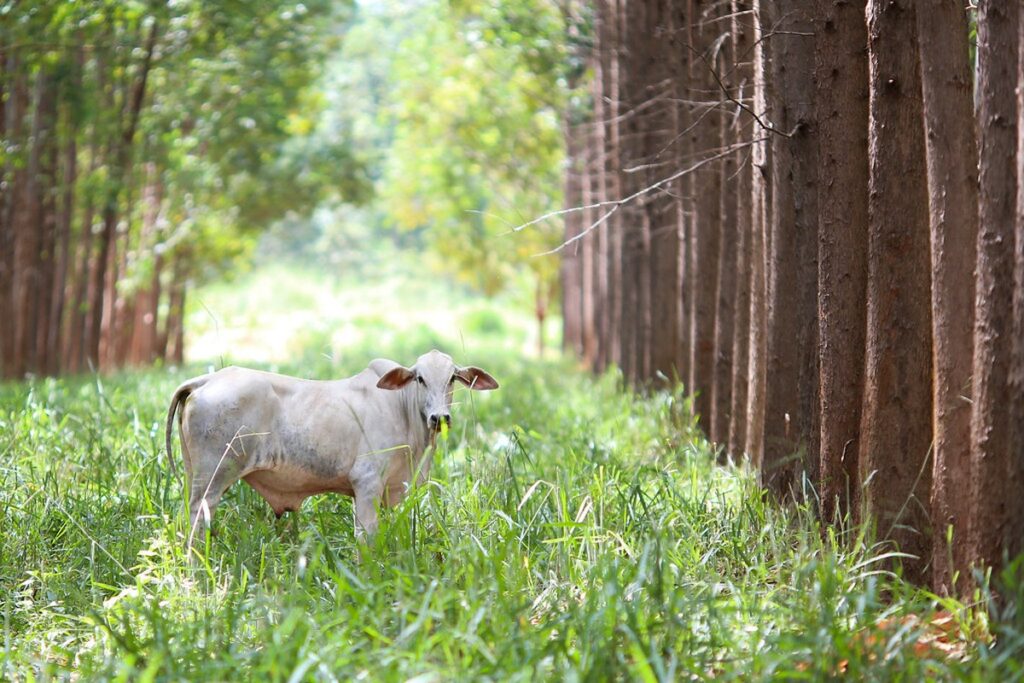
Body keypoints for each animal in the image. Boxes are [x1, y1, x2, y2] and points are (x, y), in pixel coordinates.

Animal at [165, 350, 497, 552]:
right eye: (420, 378)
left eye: (452, 378)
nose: (439, 418)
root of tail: (208, 379)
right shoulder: (366, 483)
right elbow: (367, 536)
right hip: (214, 477)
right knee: (197, 519)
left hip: (194, 473)